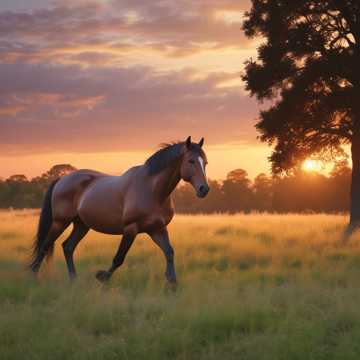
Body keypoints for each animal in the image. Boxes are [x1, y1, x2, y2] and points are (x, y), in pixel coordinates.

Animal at [29, 136, 210, 286]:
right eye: (191, 161)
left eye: (205, 163)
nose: (204, 189)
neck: (152, 190)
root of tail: (62, 179)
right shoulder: (131, 229)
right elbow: (119, 258)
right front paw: (102, 277)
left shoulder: (157, 229)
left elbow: (169, 252)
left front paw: (172, 284)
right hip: (60, 222)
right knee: (45, 246)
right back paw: (33, 276)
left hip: (81, 225)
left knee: (67, 247)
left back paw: (73, 280)